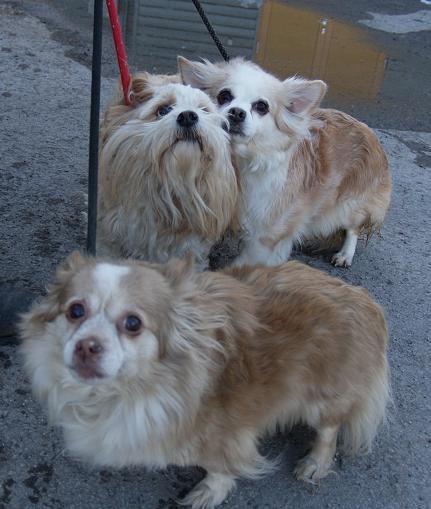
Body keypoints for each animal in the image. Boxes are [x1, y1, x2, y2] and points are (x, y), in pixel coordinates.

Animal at [20, 251, 390, 508]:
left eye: (133, 323)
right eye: (75, 311)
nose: (87, 346)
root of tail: (363, 298)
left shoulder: (223, 435)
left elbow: (220, 466)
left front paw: (210, 492)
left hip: (321, 398)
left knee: (330, 429)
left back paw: (314, 463)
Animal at [178, 57, 392, 267]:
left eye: (261, 106)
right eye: (224, 96)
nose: (237, 112)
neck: (240, 162)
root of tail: (368, 131)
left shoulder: (266, 237)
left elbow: (242, 265)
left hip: (351, 205)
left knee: (353, 227)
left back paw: (345, 254)